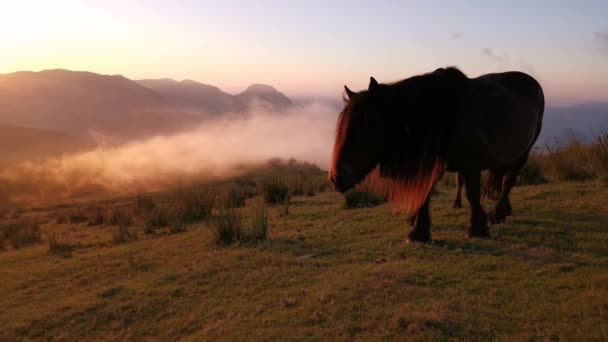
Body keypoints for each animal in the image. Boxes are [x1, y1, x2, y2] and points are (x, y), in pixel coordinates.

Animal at [330, 67, 544, 242]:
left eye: (365, 127)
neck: (442, 115)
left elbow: (472, 194)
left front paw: (477, 227)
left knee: (510, 180)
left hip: (524, 151)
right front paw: (419, 231)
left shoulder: (470, 164)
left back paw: (498, 213)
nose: (336, 177)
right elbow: (425, 193)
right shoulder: (431, 163)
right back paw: (505, 209)